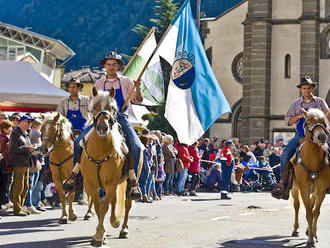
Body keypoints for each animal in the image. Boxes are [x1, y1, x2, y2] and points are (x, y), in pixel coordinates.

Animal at [81, 86, 135, 245]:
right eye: (94, 108)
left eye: (112, 108)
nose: (102, 128)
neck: (100, 151)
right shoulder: (92, 183)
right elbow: (98, 206)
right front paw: (101, 233)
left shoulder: (112, 182)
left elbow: (104, 207)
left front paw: (99, 235)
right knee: (114, 200)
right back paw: (114, 221)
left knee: (127, 204)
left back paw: (123, 228)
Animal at [290, 109, 328, 248]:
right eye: (308, 122)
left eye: (323, 121)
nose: (321, 137)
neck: (313, 161)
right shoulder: (304, 189)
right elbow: (308, 213)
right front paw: (310, 240)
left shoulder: (321, 190)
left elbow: (315, 212)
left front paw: (314, 236)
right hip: (294, 188)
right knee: (297, 206)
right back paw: (295, 230)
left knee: (311, 205)